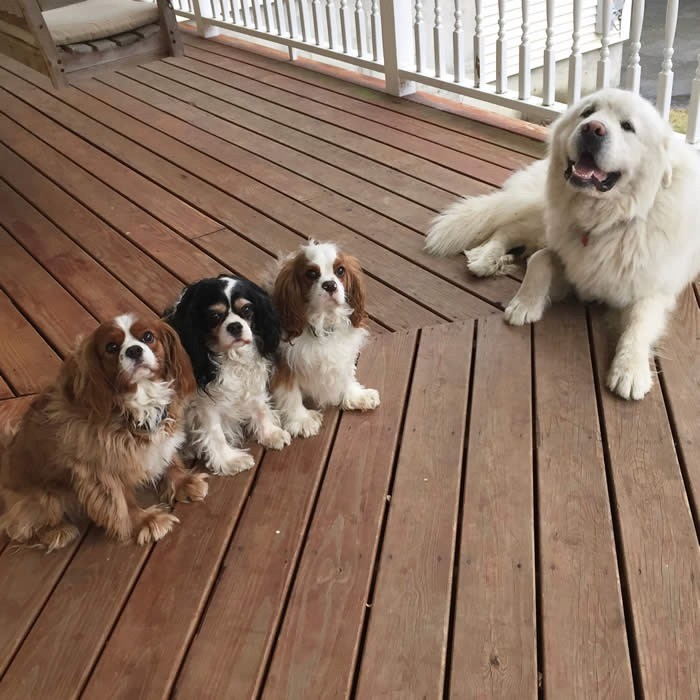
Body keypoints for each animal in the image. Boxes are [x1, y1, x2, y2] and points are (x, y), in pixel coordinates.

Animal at [0, 314, 204, 551]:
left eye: (148, 336)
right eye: (112, 347)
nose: (134, 350)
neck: (138, 404)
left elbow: (168, 458)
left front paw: (183, 482)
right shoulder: (98, 470)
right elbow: (121, 502)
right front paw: (146, 521)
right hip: (43, 499)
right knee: (18, 527)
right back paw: (56, 532)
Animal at [165, 275, 290, 475]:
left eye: (246, 310)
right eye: (215, 316)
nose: (235, 326)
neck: (232, 357)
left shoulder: (251, 382)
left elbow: (260, 408)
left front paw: (270, 433)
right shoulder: (204, 404)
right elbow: (215, 433)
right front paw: (229, 460)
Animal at [270, 240, 380, 438]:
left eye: (340, 270)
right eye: (311, 274)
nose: (330, 285)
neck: (324, 322)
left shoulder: (343, 354)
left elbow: (346, 374)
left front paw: (356, 395)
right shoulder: (283, 363)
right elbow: (289, 392)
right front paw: (302, 419)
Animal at [426, 88, 700, 400]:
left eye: (628, 126)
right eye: (587, 112)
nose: (593, 129)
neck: (608, 221)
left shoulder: (652, 289)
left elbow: (639, 324)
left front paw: (630, 370)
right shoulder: (571, 262)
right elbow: (540, 260)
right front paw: (525, 304)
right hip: (542, 211)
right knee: (508, 228)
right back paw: (486, 259)